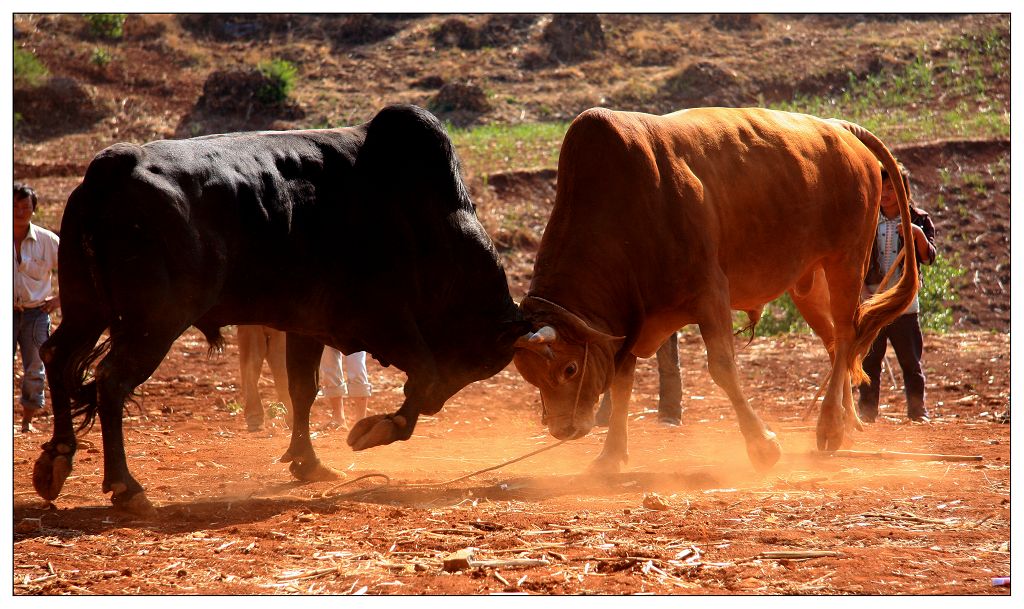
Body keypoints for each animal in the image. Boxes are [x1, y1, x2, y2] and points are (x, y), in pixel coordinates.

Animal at [34, 105, 528, 513]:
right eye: (479, 360)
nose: (438, 405)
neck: (425, 221)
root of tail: (113, 166)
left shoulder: (308, 327)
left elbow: (302, 390)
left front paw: (307, 462)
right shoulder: (384, 322)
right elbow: (422, 373)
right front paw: (380, 428)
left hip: (86, 309)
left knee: (56, 358)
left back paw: (56, 460)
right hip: (151, 325)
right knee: (111, 382)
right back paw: (126, 486)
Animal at [516, 107, 917, 474]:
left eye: (569, 369)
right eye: (529, 376)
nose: (563, 429)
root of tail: (838, 127)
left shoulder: (710, 294)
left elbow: (723, 367)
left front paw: (762, 445)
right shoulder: (630, 318)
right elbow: (622, 382)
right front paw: (611, 455)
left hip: (846, 262)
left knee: (848, 335)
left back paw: (830, 424)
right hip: (810, 283)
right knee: (837, 344)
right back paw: (845, 421)